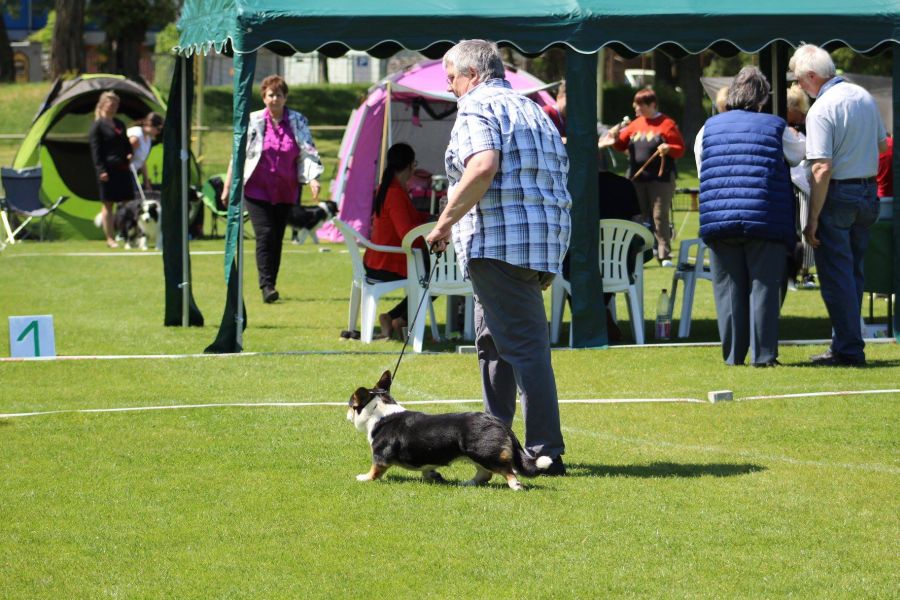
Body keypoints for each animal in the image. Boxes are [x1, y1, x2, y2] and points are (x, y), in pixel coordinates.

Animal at [347, 370, 552, 490]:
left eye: (350, 404)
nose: (346, 414)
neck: (379, 410)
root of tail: (498, 422)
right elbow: (428, 470)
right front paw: (434, 477)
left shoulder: (380, 456)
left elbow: (375, 470)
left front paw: (364, 478)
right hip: (475, 455)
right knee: (485, 474)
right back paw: (467, 483)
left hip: (484, 452)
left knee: (506, 470)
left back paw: (515, 485)